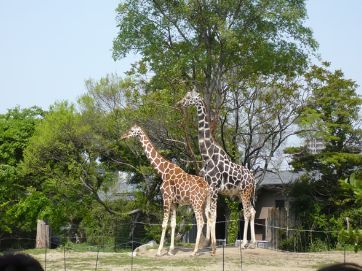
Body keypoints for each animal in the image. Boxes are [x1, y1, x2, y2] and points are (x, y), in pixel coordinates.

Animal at [121, 125, 209, 258]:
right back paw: (212, 249)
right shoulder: (174, 202)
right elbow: (173, 224)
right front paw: (171, 251)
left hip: (196, 203)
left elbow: (163, 224)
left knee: (200, 222)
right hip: (206, 203)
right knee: (210, 219)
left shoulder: (166, 198)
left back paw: (195, 251)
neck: (162, 171)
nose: (123, 136)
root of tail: (208, 188)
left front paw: (159, 251)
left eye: (131, 130)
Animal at [178, 90, 258, 258]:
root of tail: (253, 178)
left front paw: (214, 248)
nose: (179, 103)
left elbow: (213, 214)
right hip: (243, 194)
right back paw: (251, 243)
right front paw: (207, 244)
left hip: (245, 192)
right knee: (252, 211)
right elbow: (208, 213)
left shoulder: (214, 187)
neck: (207, 155)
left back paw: (246, 243)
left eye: (189, 97)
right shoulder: (208, 188)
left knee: (247, 213)